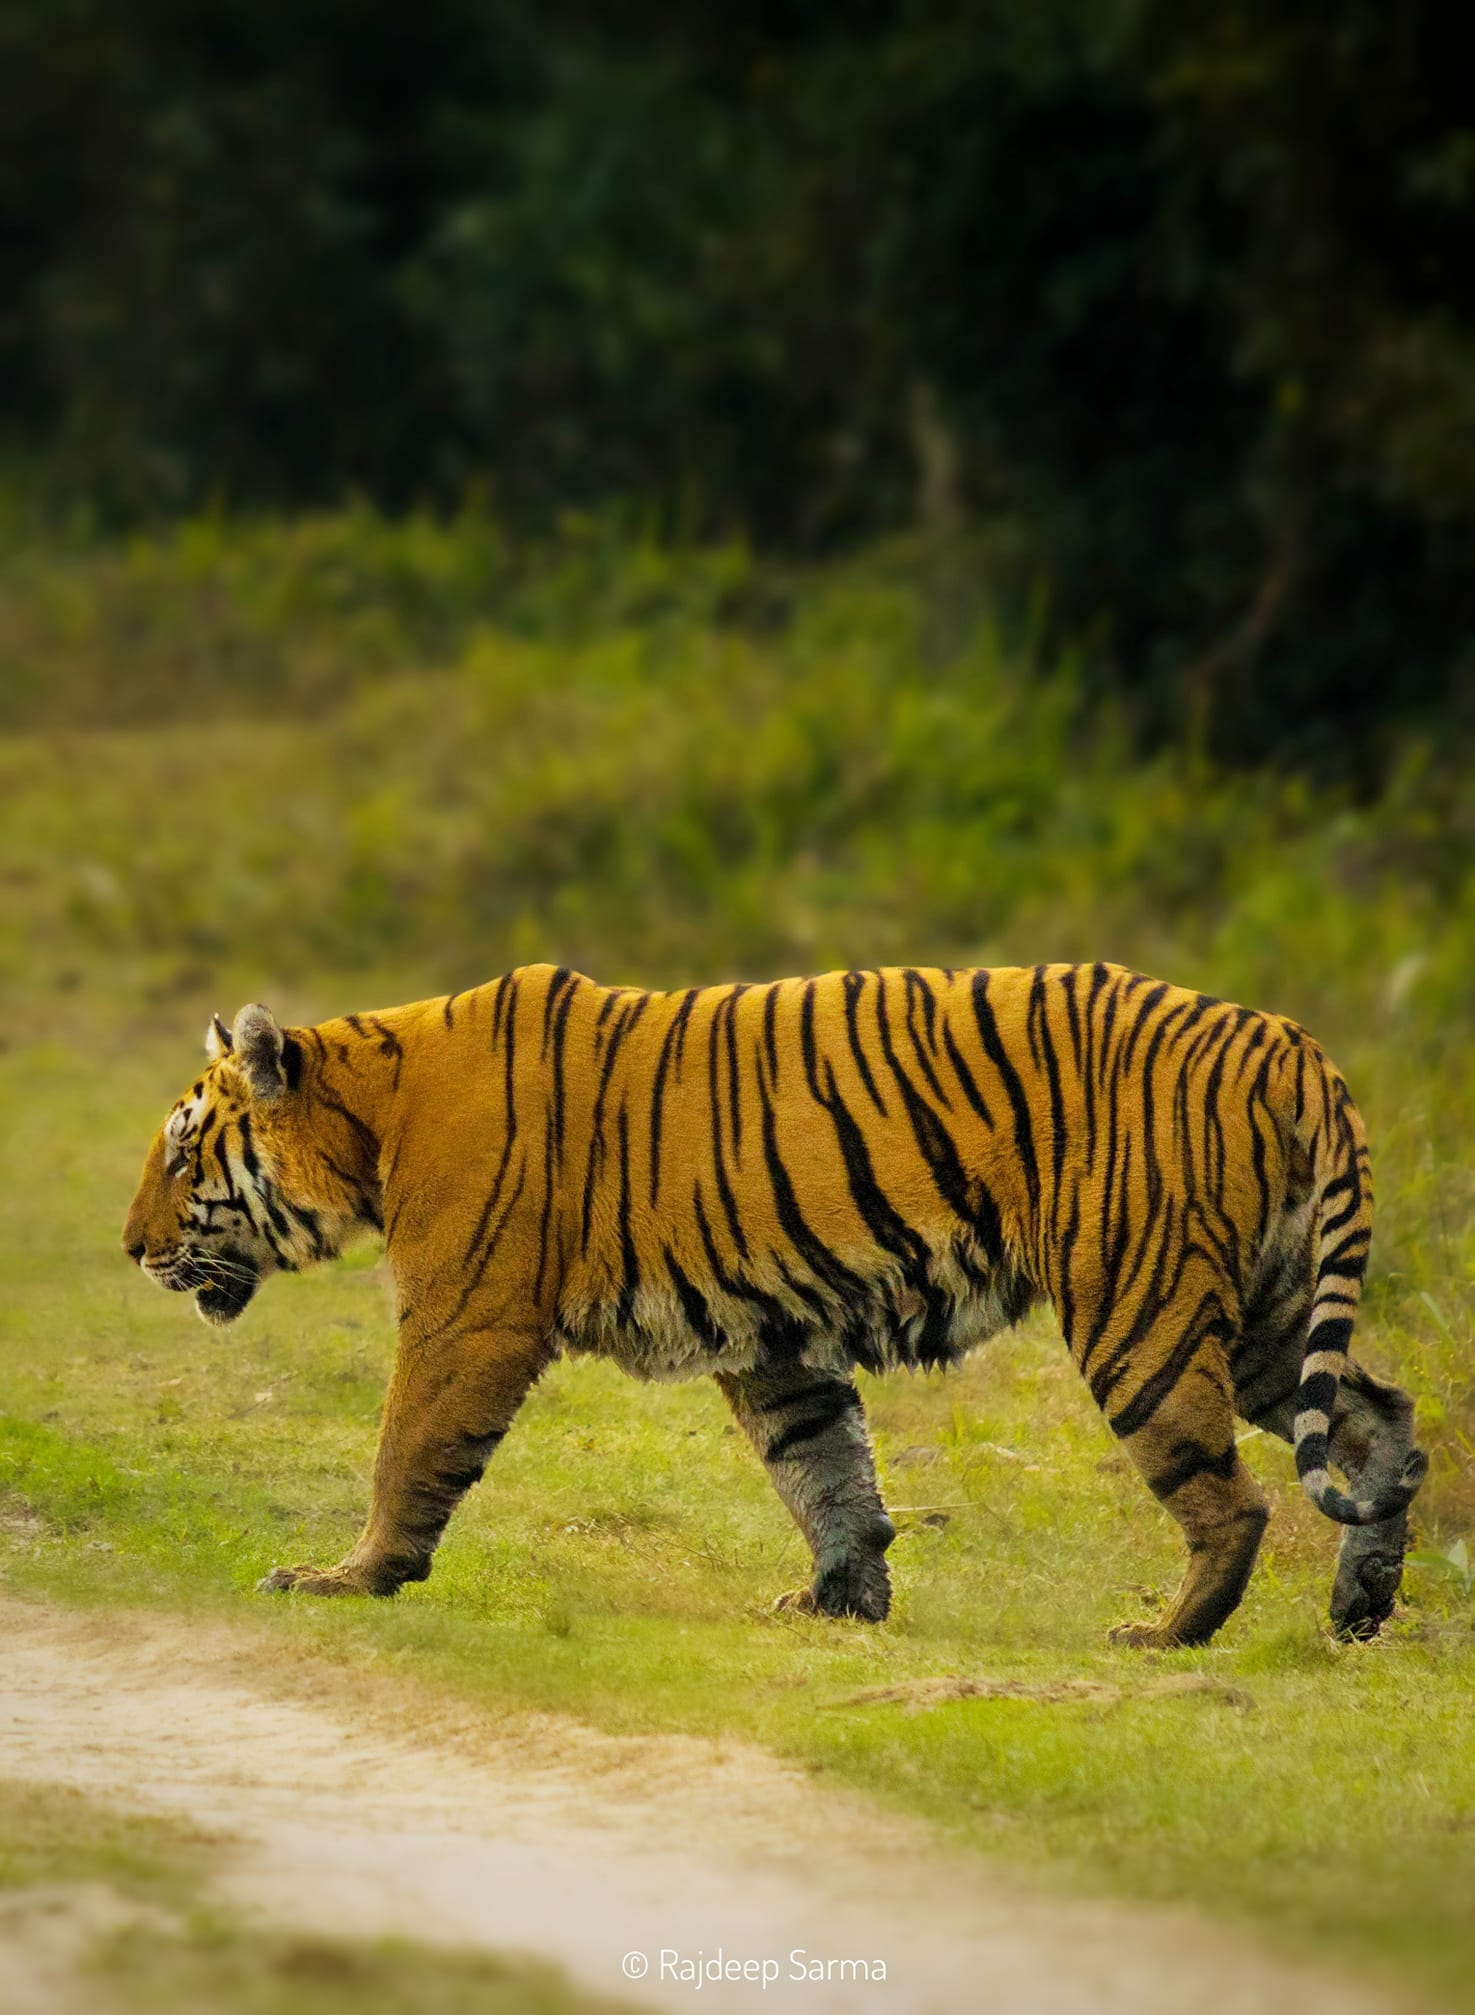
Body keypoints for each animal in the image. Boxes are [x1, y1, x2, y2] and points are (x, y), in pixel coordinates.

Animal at [126, 967, 1426, 1644]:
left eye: (185, 1154)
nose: (131, 1247)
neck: (370, 1112)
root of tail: (1285, 1037)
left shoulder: (464, 1316)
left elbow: (405, 1451)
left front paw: (351, 1576)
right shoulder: (771, 1337)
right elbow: (826, 1469)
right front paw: (841, 1600)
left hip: (1136, 1303)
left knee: (1234, 1495)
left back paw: (1168, 1632)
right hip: (1265, 1313)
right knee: (1379, 1420)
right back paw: (1357, 1605)